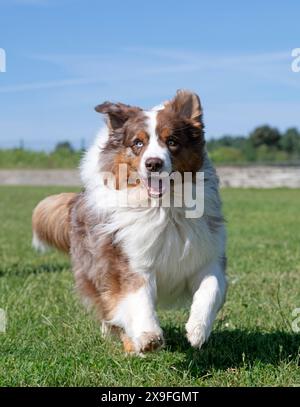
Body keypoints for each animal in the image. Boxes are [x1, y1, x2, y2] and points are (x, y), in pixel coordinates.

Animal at [31, 89, 226, 354]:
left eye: (172, 141)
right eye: (138, 143)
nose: (153, 163)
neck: (163, 208)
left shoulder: (206, 256)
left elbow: (211, 288)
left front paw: (198, 330)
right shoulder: (128, 259)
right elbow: (137, 297)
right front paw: (148, 336)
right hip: (95, 267)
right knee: (110, 307)